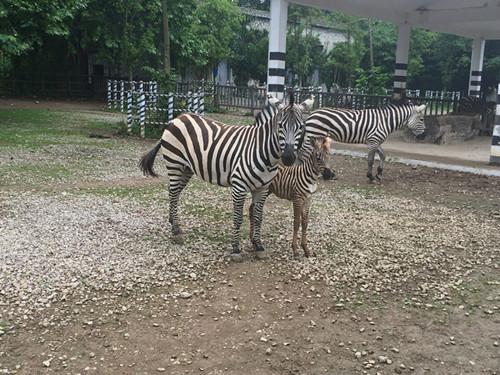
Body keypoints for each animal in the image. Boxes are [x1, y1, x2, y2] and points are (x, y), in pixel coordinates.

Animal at [140, 93, 312, 262]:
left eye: (301, 127)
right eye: (280, 125)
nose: (288, 158)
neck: (263, 151)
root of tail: (177, 118)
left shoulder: (262, 188)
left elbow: (258, 217)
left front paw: (258, 246)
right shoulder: (239, 186)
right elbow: (238, 218)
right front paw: (235, 249)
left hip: (186, 169)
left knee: (174, 193)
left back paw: (173, 222)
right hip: (174, 163)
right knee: (174, 192)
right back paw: (176, 231)